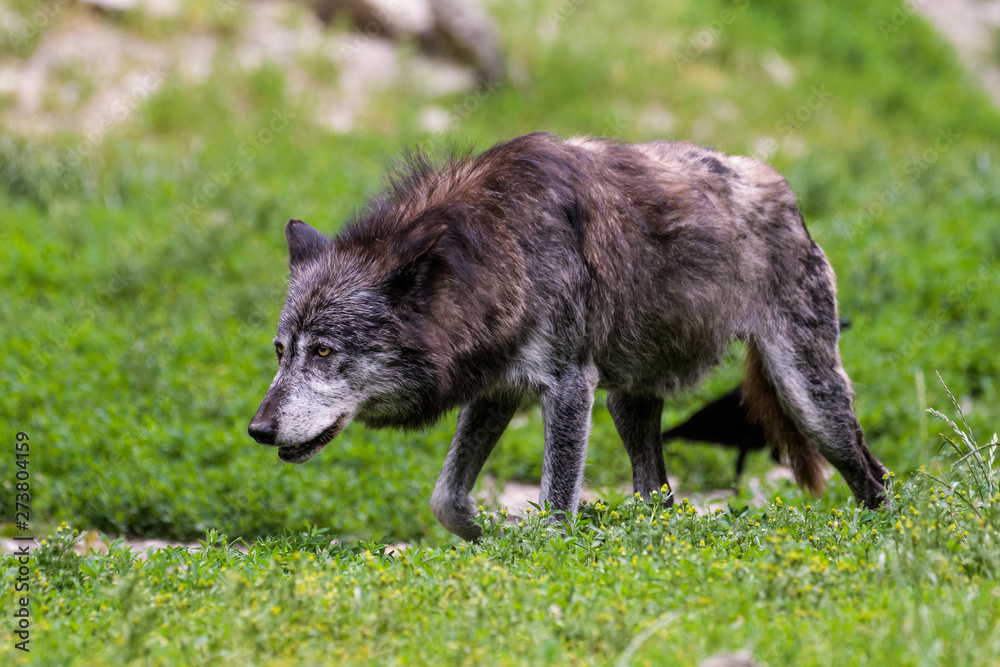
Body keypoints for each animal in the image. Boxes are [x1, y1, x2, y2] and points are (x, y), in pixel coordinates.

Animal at [250, 132, 892, 544]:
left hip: (809, 398)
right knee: (659, 493)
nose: (258, 430)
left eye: (324, 351)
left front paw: (541, 549)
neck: (500, 247)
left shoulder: (566, 387)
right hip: (627, 403)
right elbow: (446, 501)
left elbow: (558, 506)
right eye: (281, 352)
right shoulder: (498, 390)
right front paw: (492, 536)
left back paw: (885, 533)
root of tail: (783, 190)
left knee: (873, 474)